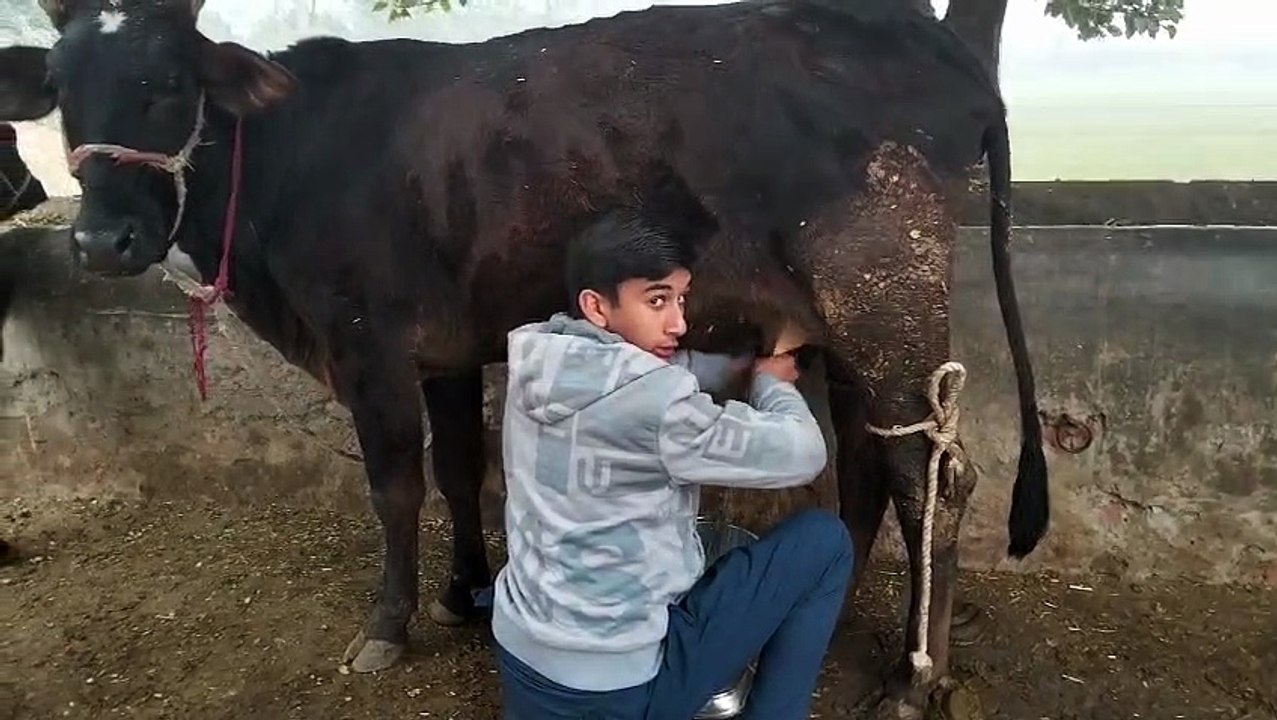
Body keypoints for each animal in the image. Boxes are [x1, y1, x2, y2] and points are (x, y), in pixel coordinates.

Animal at [0, 0, 1050, 715]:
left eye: (167, 83)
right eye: (62, 93)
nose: (99, 243)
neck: (284, 169)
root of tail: (931, 44)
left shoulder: (367, 346)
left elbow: (395, 487)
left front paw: (389, 624)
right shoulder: (445, 350)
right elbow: (461, 470)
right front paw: (462, 590)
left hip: (884, 298)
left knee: (932, 477)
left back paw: (915, 680)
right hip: (844, 328)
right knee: (867, 473)